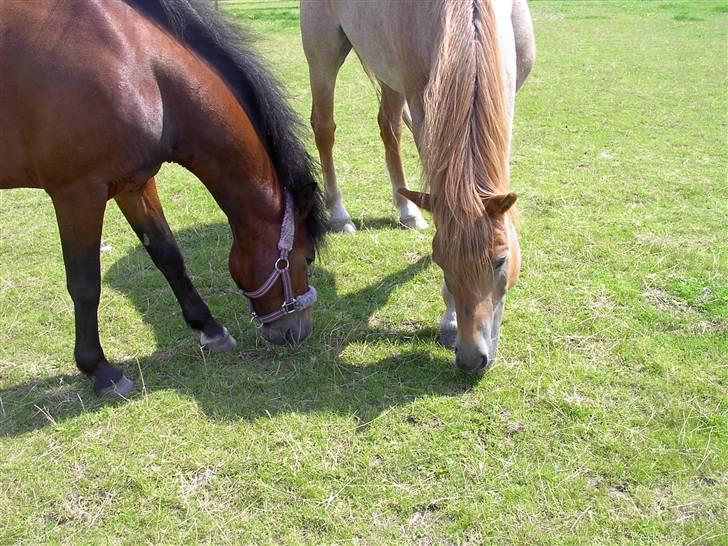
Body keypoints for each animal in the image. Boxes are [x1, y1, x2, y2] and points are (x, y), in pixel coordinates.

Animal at [0, 2, 324, 398]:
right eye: (306, 257)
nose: (298, 331)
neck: (134, 62)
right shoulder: (77, 195)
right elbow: (85, 283)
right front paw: (100, 370)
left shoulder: (135, 185)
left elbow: (168, 255)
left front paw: (210, 329)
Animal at [302, 0, 536, 372]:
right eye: (440, 260)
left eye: (501, 259)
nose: (471, 358)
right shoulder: (424, 98)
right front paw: (450, 320)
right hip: (323, 51)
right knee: (324, 127)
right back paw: (340, 214)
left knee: (390, 126)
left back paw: (407, 210)